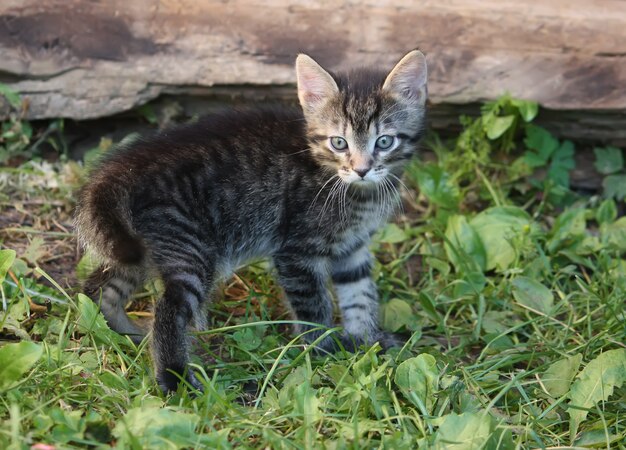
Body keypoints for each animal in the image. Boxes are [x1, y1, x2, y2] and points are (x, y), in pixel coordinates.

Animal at [72, 49, 424, 392]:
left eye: (384, 141)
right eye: (339, 142)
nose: (362, 169)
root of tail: (123, 167)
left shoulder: (353, 247)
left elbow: (360, 294)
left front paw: (366, 341)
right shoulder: (296, 251)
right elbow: (314, 306)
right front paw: (322, 351)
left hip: (136, 245)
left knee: (100, 289)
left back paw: (124, 337)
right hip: (187, 246)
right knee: (169, 309)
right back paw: (175, 379)